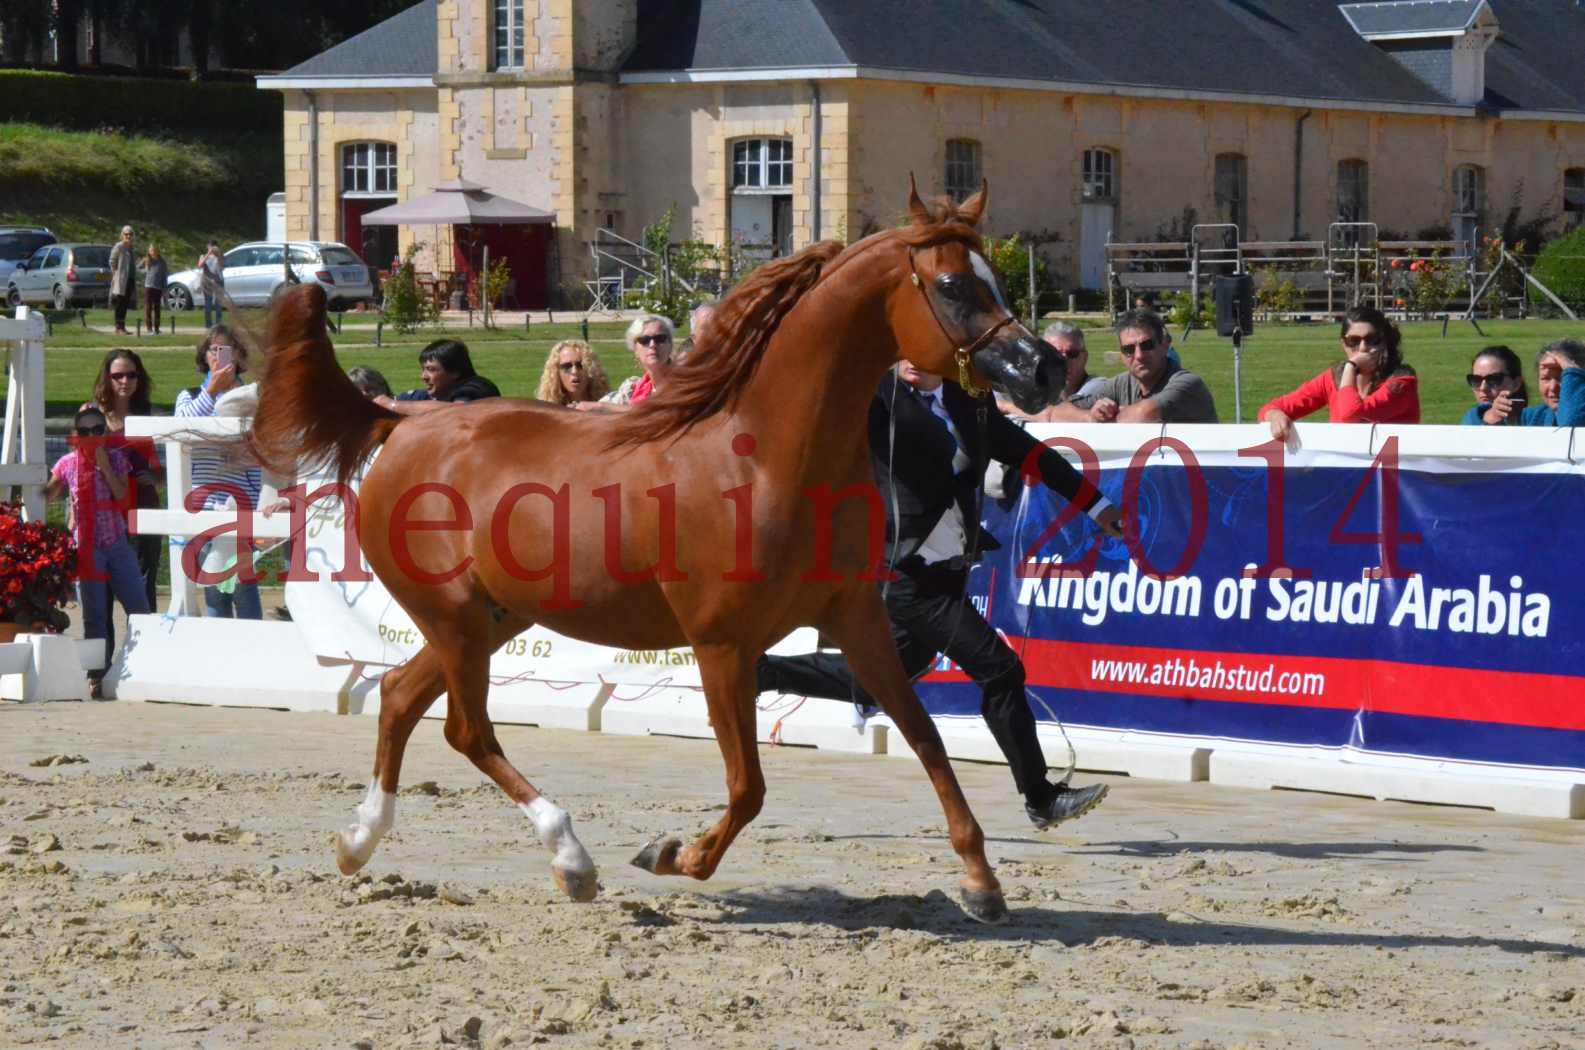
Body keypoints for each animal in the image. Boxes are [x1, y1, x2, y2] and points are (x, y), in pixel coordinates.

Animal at [250, 184, 1065, 926]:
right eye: (952, 285)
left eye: (995, 277)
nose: (1041, 370)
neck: (767, 459)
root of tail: (402, 424)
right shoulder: (722, 644)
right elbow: (748, 787)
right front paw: (673, 855)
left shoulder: (857, 619)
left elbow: (927, 739)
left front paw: (981, 883)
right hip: (454, 618)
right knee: (464, 728)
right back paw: (571, 860)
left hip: (491, 618)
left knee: (397, 698)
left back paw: (358, 843)